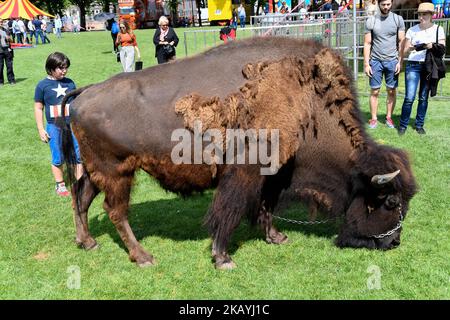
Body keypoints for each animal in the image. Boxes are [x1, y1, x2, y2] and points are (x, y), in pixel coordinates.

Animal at [60, 36, 418, 268]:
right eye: (390, 201)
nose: (394, 242)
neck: (308, 104)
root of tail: (84, 93)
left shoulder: (275, 175)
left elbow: (266, 206)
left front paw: (275, 237)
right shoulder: (244, 172)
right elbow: (229, 210)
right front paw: (223, 258)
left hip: (97, 170)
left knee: (82, 197)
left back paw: (87, 242)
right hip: (118, 172)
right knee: (115, 211)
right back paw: (144, 257)